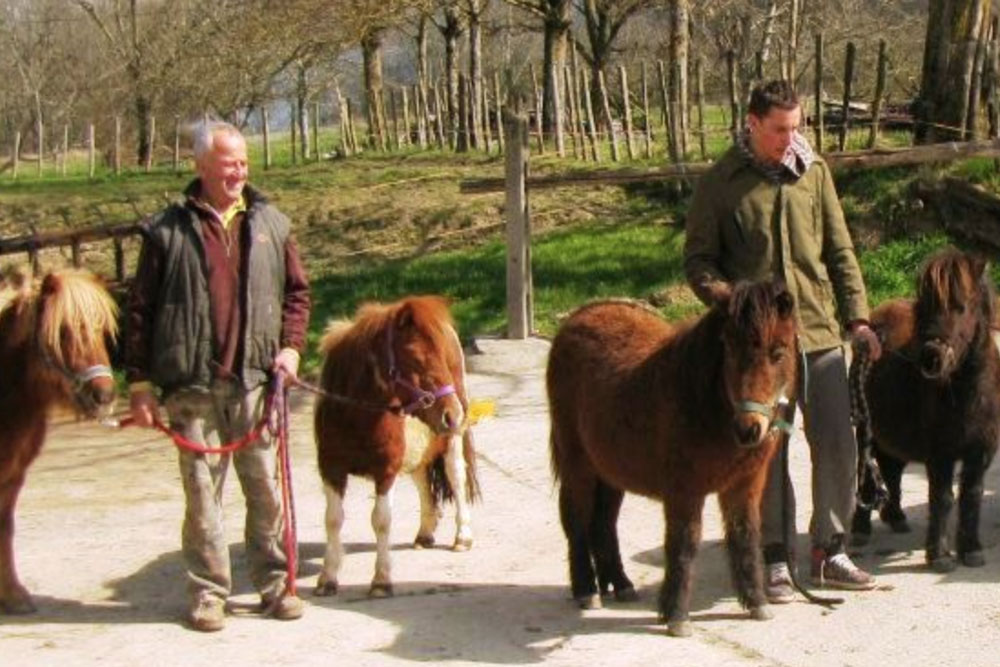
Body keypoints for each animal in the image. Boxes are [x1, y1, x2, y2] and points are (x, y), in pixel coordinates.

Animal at [0, 268, 117, 612]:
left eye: (101, 329)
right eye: (63, 332)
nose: (104, 396)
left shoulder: (13, 476)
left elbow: (5, 527)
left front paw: (13, 595)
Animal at [314, 294, 482, 596]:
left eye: (442, 357)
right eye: (416, 357)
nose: (452, 413)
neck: (356, 415)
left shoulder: (386, 470)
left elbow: (381, 520)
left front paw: (381, 580)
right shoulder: (331, 468)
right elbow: (333, 519)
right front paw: (327, 578)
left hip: (451, 439)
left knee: (456, 476)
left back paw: (462, 536)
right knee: (422, 476)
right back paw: (425, 533)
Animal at [548, 280, 796, 636]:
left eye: (778, 353)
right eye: (730, 350)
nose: (749, 430)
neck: (707, 407)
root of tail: (578, 317)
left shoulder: (744, 486)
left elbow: (745, 535)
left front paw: (756, 602)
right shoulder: (684, 491)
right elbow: (684, 544)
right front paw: (677, 615)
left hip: (609, 469)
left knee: (603, 522)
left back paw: (621, 584)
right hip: (577, 464)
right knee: (577, 519)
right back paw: (586, 591)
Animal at [852, 248, 1000, 572]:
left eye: (961, 307)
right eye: (925, 307)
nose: (932, 358)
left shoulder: (980, 452)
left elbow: (971, 495)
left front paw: (971, 550)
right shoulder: (940, 453)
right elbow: (942, 498)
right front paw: (940, 555)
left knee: (892, 470)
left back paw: (896, 516)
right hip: (865, 431)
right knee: (868, 474)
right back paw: (861, 529)